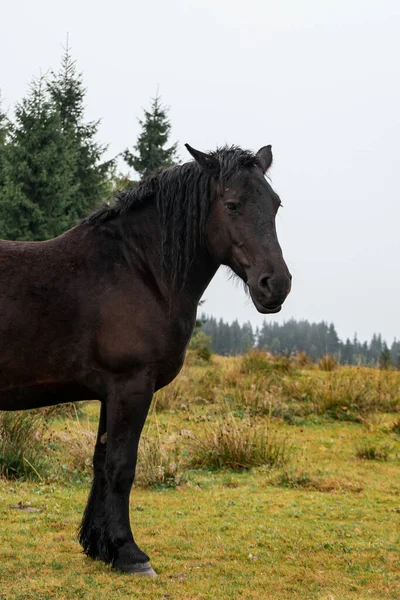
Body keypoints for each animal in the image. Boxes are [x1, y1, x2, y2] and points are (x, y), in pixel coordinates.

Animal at [0, 143, 290, 576]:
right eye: (232, 204)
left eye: (275, 204)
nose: (276, 285)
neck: (138, 270)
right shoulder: (131, 384)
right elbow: (122, 467)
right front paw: (129, 553)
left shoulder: (110, 393)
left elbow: (101, 462)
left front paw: (98, 546)